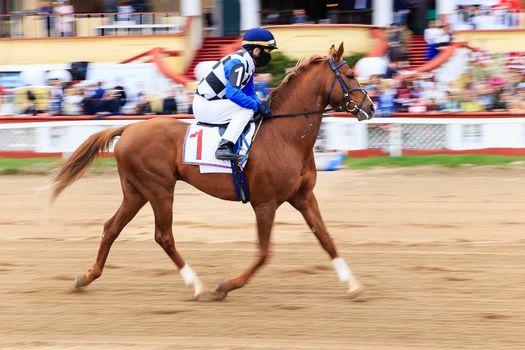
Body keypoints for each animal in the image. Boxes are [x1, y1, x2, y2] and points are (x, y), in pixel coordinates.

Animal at [51, 43, 374, 300]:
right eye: (349, 75)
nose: (370, 107)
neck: (286, 136)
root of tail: (129, 128)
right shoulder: (265, 203)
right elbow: (264, 253)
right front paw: (226, 285)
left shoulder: (304, 196)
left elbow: (326, 239)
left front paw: (354, 285)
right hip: (159, 189)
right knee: (163, 236)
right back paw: (196, 285)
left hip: (136, 192)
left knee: (111, 228)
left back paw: (87, 277)